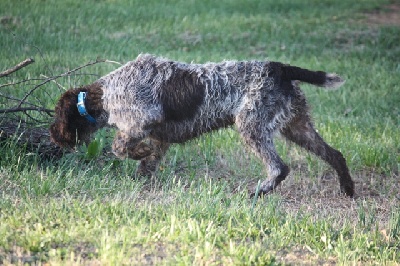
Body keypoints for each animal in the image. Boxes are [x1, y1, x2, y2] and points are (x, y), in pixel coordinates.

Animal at [49, 53, 354, 196]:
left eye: (57, 116)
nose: (52, 135)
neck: (104, 94)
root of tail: (279, 67)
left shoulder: (140, 123)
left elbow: (120, 147)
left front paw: (140, 153)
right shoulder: (160, 137)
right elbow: (146, 163)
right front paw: (141, 180)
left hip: (251, 126)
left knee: (280, 168)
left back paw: (259, 192)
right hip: (297, 126)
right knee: (335, 155)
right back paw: (348, 190)